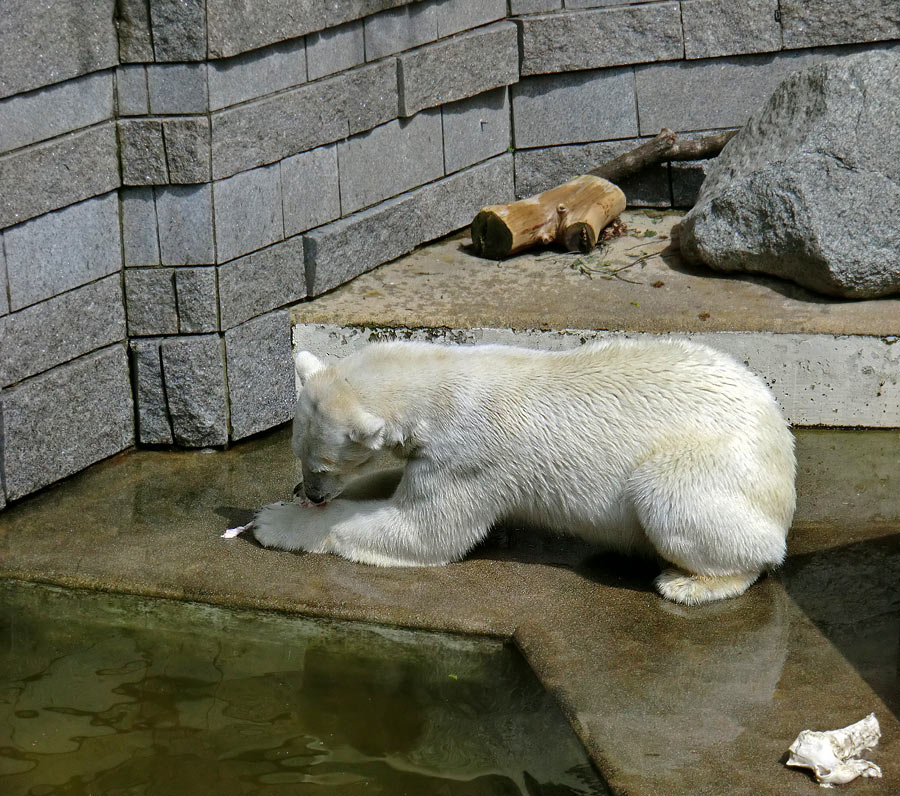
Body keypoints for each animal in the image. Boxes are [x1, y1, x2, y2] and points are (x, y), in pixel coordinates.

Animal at [253, 336, 796, 604]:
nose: (313, 492)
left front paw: (275, 522)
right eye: (298, 451)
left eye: (322, 463)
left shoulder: (470, 454)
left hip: (708, 469)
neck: (441, 386)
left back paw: (689, 583)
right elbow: (396, 485)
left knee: (677, 502)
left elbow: (423, 529)